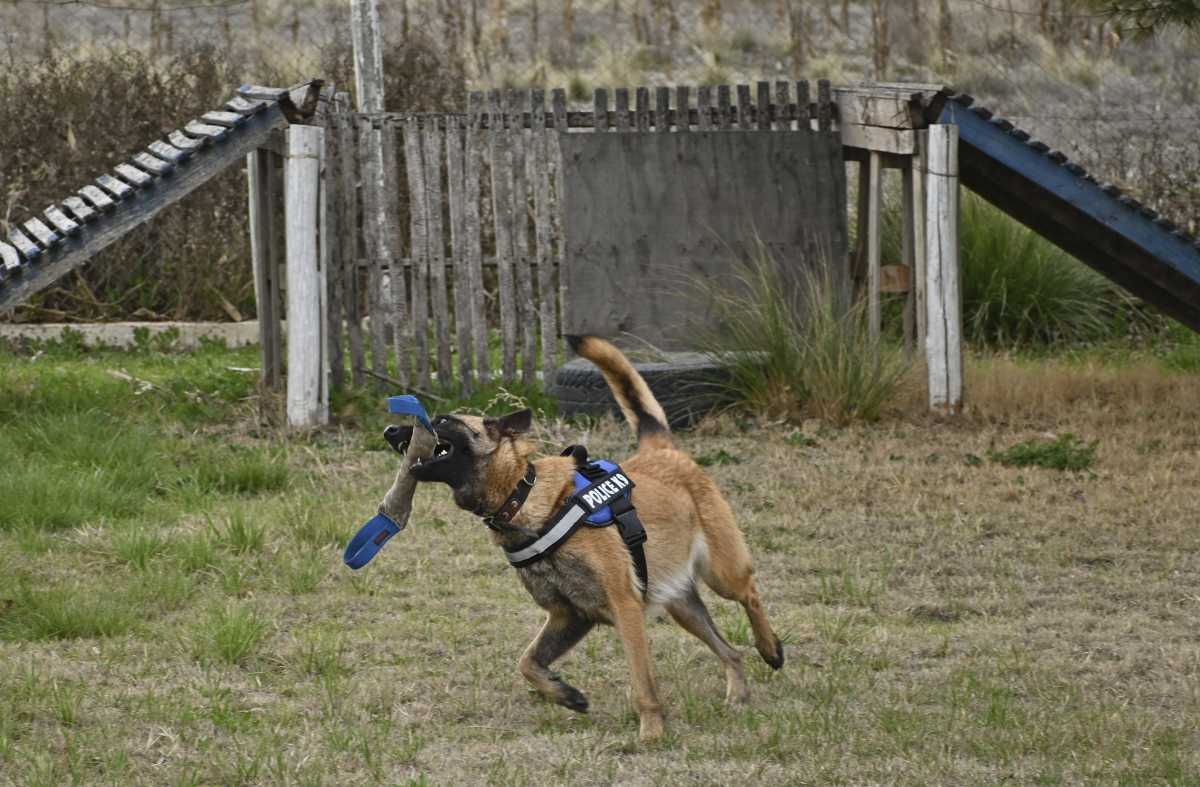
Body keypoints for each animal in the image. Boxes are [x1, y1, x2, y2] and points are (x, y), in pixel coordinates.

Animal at [379, 335, 782, 739]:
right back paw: (739, 693)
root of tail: (662, 449)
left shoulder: (625, 608)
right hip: (680, 604)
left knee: (750, 593)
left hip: (721, 572)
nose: (390, 431)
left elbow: (642, 683)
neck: (523, 497)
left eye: (444, 421)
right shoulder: (569, 615)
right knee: (731, 651)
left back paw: (771, 648)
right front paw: (565, 695)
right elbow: (527, 662)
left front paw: (651, 732)